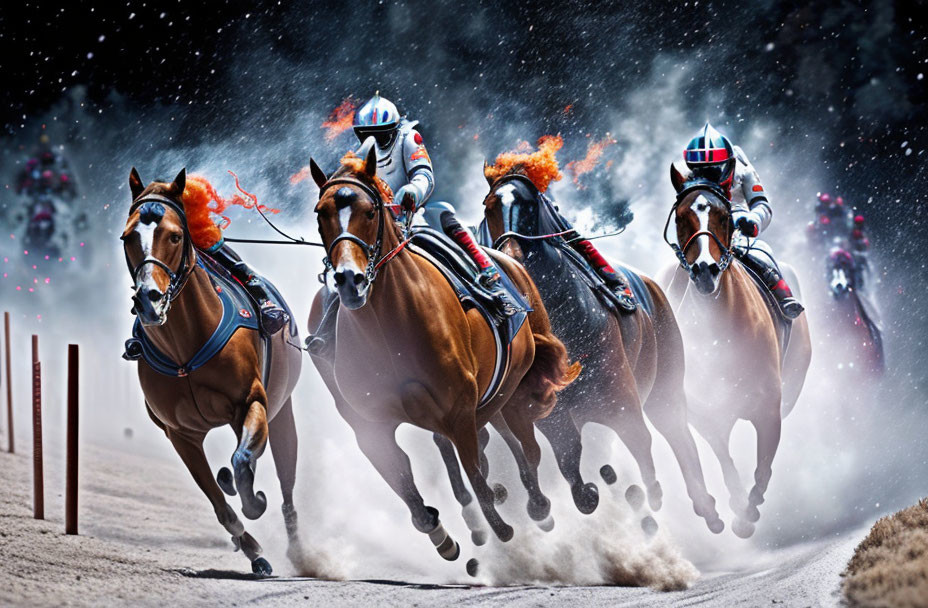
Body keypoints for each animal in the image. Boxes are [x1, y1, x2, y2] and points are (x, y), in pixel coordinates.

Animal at [119, 169, 304, 572]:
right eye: (127, 237)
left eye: (175, 235)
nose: (149, 300)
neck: (185, 352)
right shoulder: (180, 433)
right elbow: (220, 504)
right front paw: (253, 550)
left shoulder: (252, 403)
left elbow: (243, 460)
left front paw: (254, 500)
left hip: (283, 412)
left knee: (286, 484)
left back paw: (302, 553)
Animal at [656, 180, 808, 536]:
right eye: (680, 217)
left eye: (724, 216)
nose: (704, 271)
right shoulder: (705, 414)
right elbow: (724, 460)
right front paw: (736, 507)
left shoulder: (769, 408)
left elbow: (763, 466)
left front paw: (747, 513)